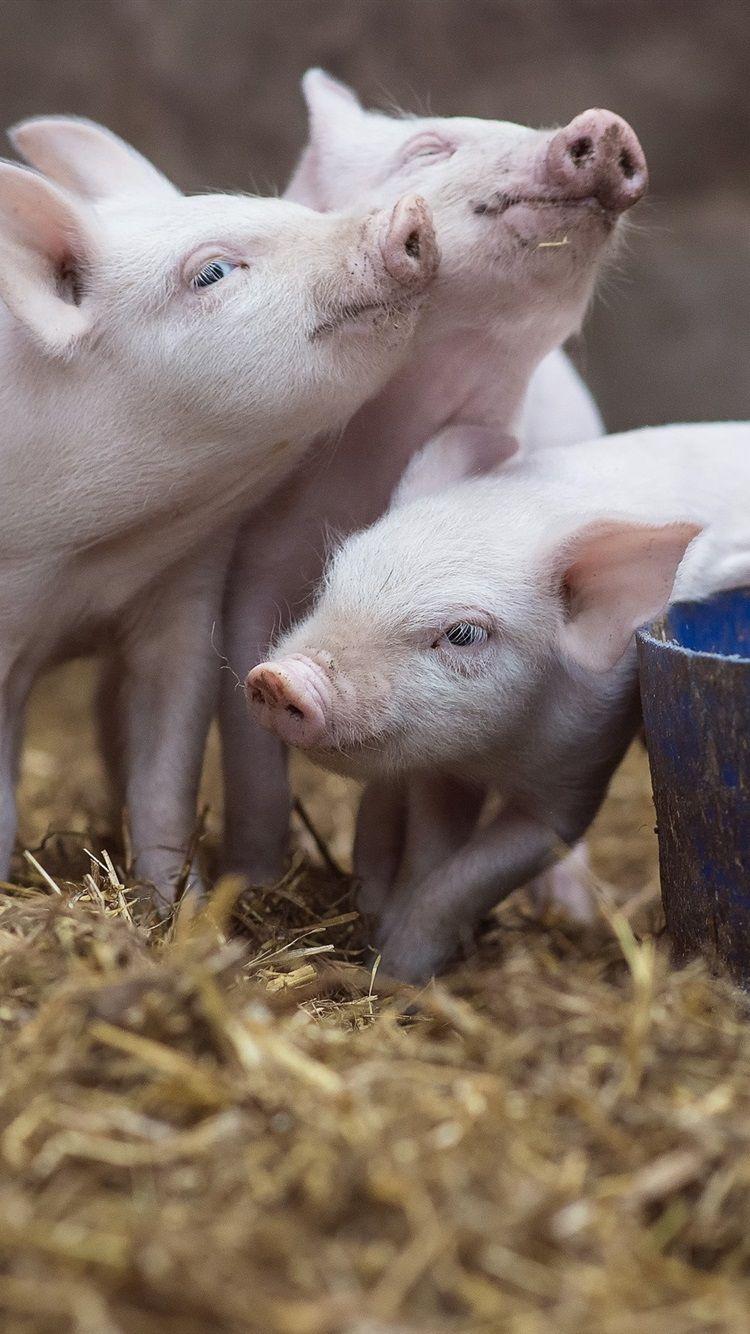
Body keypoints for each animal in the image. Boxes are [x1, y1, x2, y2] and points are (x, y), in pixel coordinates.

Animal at [0, 115, 438, 895]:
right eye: (212, 272)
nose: (410, 211)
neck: (90, 552)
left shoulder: (182, 597)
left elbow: (166, 773)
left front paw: (182, 903)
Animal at [248, 421, 750, 981]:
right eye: (335, 579)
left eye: (464, 634)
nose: (279, 679)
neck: (496, 753)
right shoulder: (441, 772)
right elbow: (430, 854)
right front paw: (382, 952)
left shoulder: (577, 773)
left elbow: (467, 879)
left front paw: (400, 972)